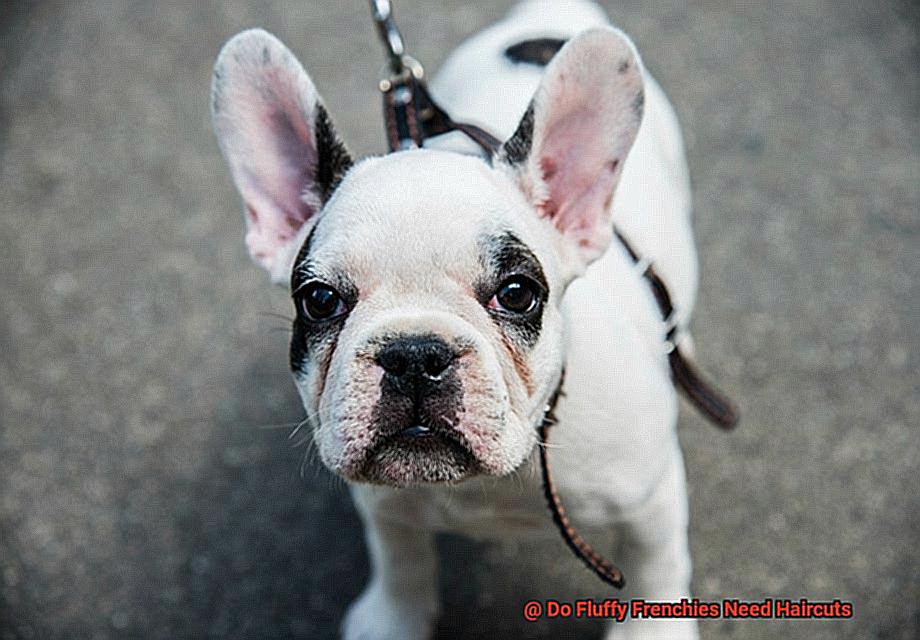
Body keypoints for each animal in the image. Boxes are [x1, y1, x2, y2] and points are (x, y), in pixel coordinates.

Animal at [212, 2, 704, 636]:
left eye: (517, 294)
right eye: (320, 301)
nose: (414, 354)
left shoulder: (650, 494)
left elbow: (654, 562)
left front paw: (654, 628)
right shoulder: (386, 503)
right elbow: (400, 556)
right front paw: (394, 618)